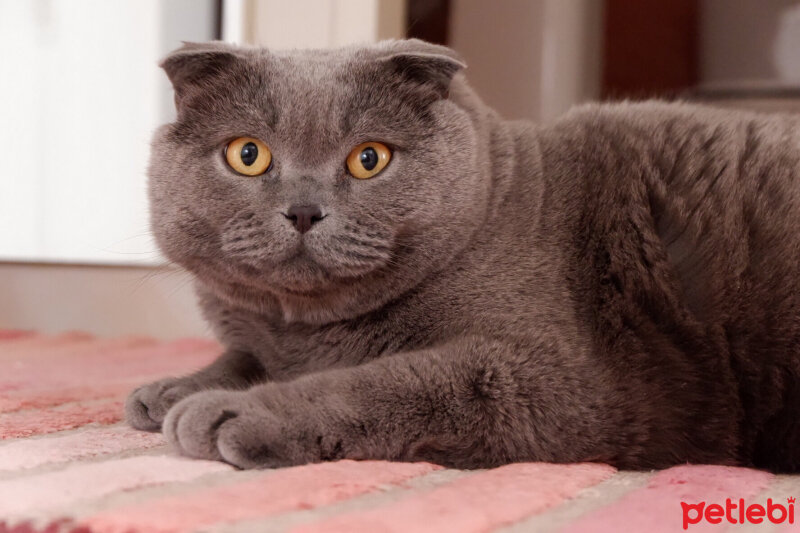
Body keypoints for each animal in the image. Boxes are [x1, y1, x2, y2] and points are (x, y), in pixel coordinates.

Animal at [125, 38, 800, 470]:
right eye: (248, 154)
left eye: (368, 159)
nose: (304, 209)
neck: (304, 333)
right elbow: (242, 354)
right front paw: (169, 390)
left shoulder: (552, 376)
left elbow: (381, 381)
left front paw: (224, 411)